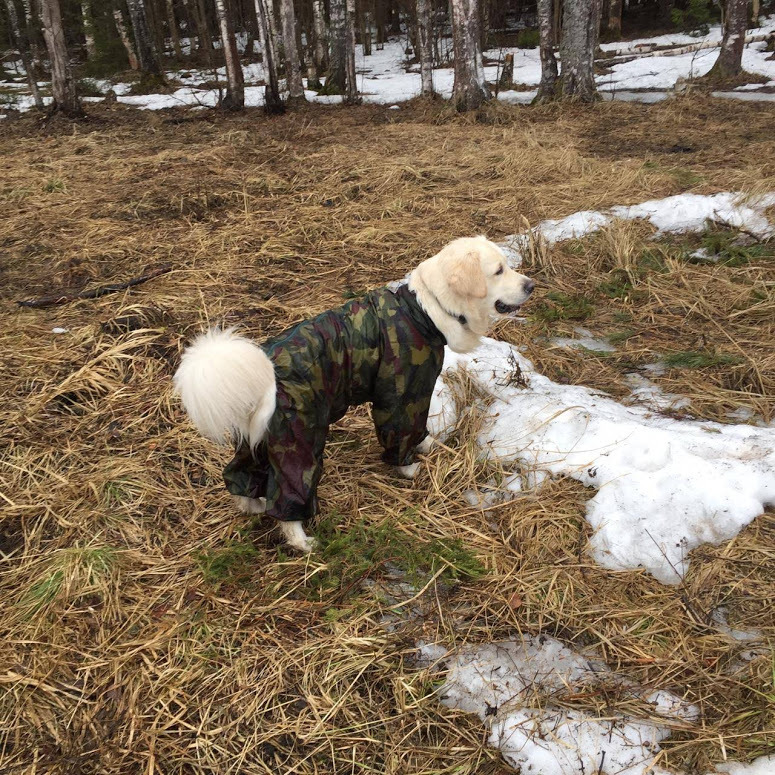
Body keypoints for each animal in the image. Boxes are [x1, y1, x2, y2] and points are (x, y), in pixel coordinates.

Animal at [174, 236, 532, 552]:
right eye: (498, 271)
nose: (530, 285)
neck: (425, 309)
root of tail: (266, 369)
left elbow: (420, 432)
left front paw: (429, 446)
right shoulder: (404, 394)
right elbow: (402, 434)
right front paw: (409, 469)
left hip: (260, 439)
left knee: (239, 476)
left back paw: (253, 506)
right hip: (300, 440)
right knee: (289, 500)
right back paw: (302, 541)